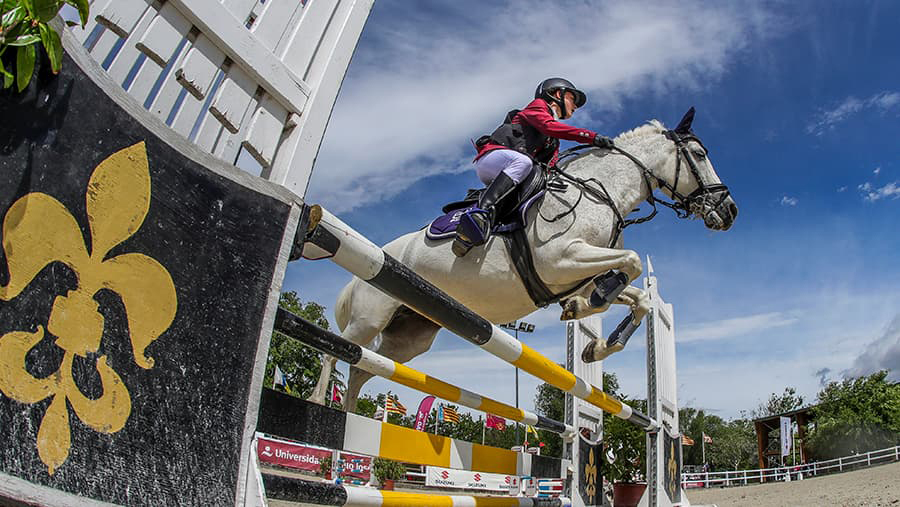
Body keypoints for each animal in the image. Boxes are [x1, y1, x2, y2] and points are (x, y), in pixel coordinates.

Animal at [310, 109, 740, 410]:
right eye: (699, 154)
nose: (730, 211)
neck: (601, 190)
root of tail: (376, 254)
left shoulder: (580, 269)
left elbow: (640, 297)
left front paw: (593, 336)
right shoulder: (562, 259)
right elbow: (632, 262)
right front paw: (590, 306)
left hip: (409, 337)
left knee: (361, 368)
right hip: (370, 317)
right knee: (337, 350)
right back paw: (318, 409)